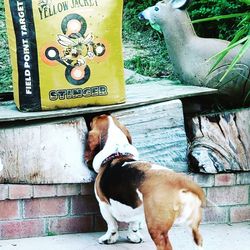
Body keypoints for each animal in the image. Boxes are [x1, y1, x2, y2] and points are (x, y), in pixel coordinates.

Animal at [84, 114, 205, 249]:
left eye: (93, 122)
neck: (117, 151)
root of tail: (177, 180)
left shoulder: (103, 204)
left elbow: (112, 225)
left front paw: (109, 239)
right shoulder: (137, 207)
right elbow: (134, 224)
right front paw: (133, 237)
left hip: (156, 228)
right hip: (193, 226)